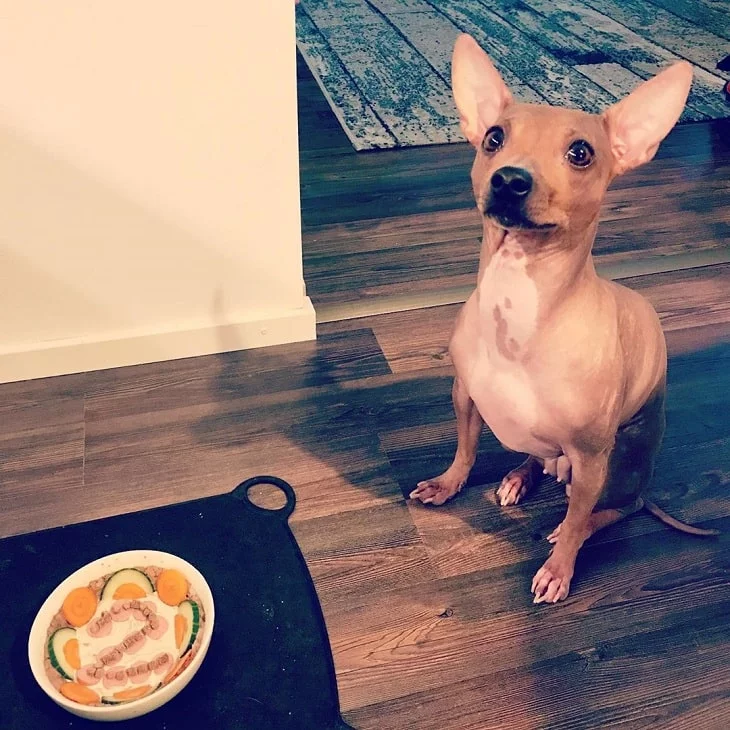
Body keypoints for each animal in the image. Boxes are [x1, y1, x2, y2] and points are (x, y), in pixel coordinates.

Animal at [410, 34, 716, 604]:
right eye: (493, 138)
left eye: (581, 153)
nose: (509, 180)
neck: (516, 304)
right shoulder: (465, 396)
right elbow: (465, 450)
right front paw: (447, 483)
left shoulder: (592, 458)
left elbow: (575, 524)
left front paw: (558, 568)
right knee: (538, 458)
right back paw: (519, 476)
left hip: (615, 465)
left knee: (616, 508)